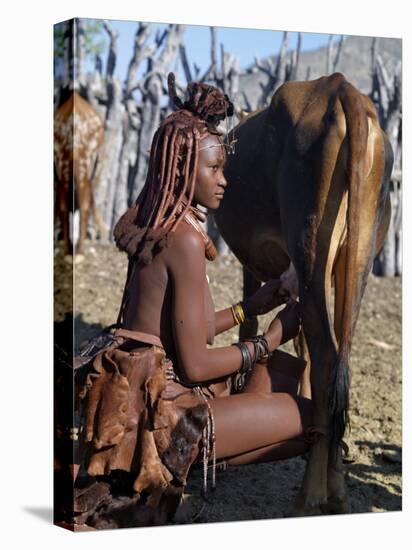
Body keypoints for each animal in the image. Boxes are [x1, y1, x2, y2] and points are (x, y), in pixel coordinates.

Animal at [216, 74, 392, 516]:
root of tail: (342, 90)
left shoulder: (253, 264)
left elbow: (250, 327)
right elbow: (302, 348)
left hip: (311, 247)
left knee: (328, 356)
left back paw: (310, 495)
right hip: (355, 256)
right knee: (339, 352)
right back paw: (338, 487)